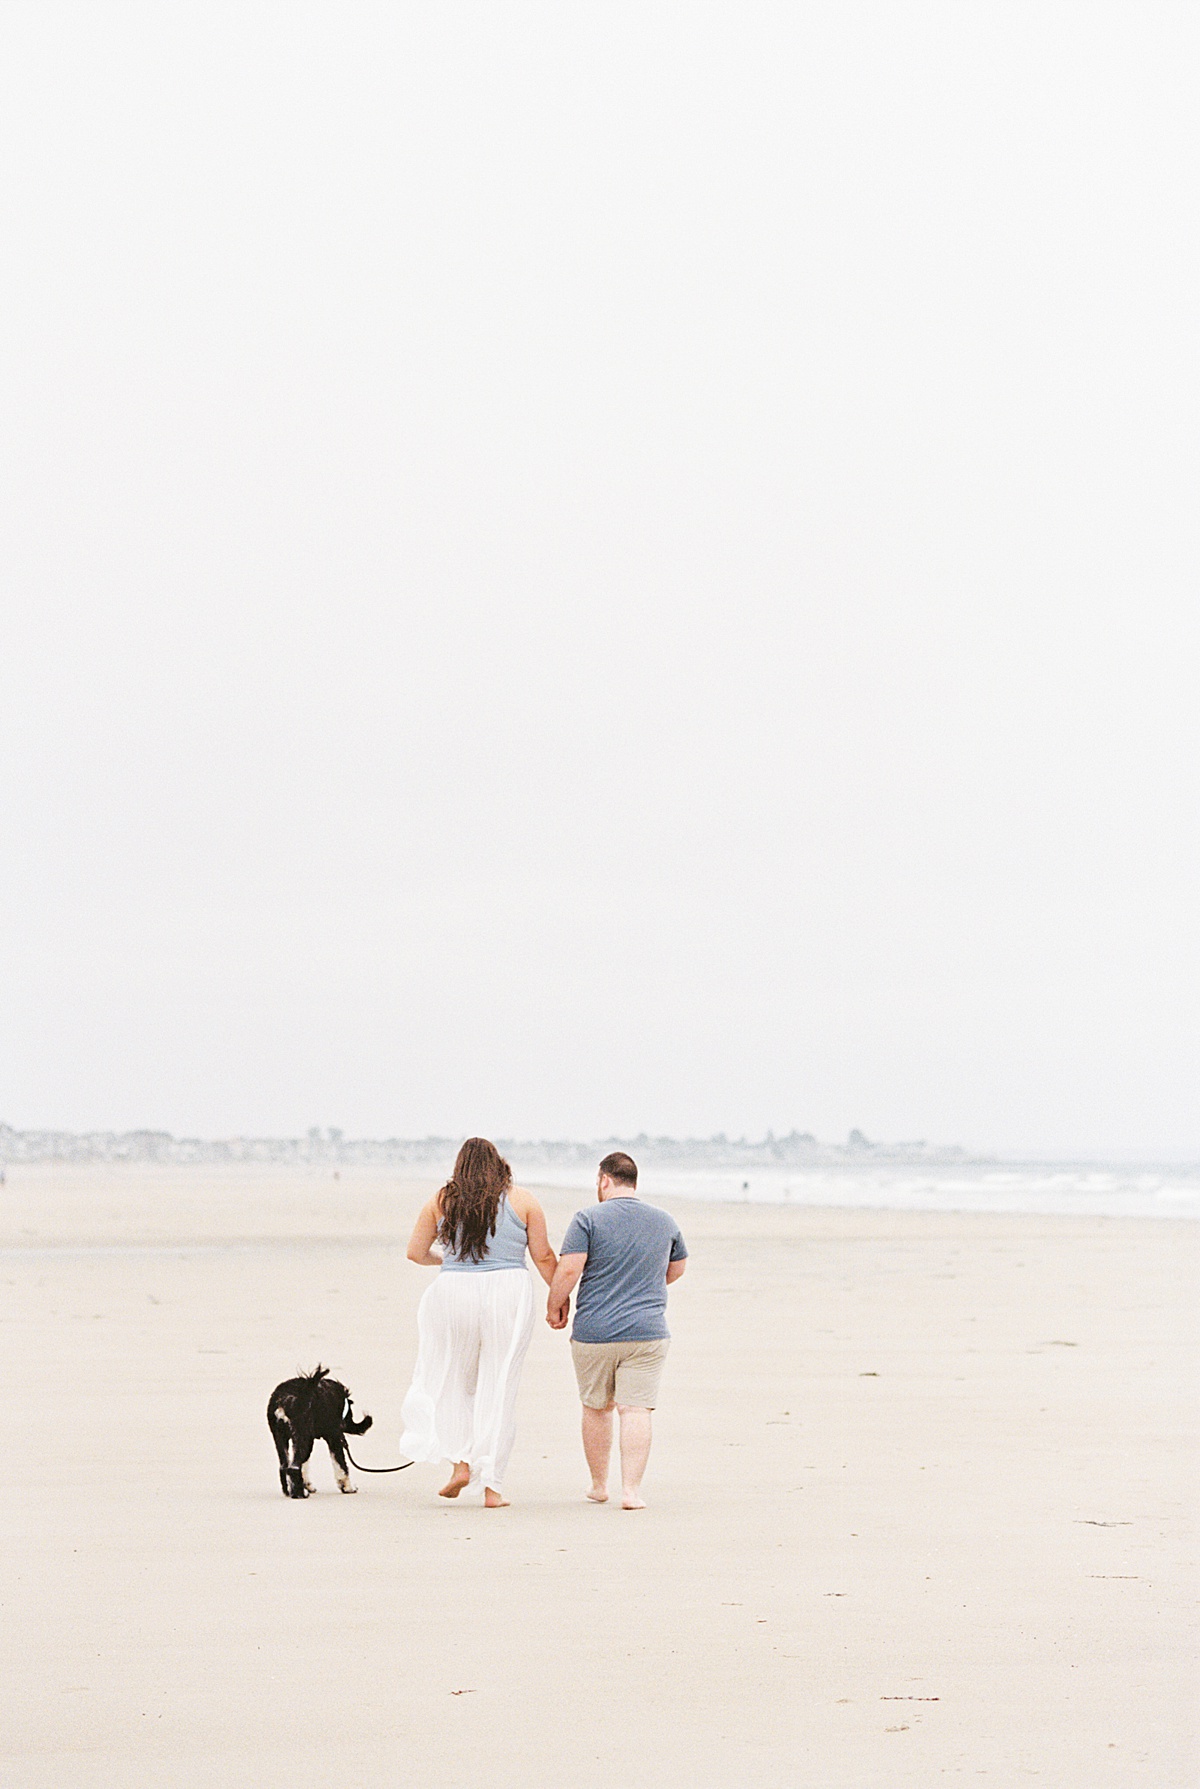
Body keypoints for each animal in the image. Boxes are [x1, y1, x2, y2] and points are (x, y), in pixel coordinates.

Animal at [268, 1366, 370, 1495]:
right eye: (350, 1415)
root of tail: (284, 1400)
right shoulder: (334, 1437)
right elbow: (341, 1464)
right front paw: (348, 1487)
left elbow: (305, 1464)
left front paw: (307, 1485)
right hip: (303, 1438)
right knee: (294, 1467)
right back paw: (300, 1494)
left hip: (281, 1438)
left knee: (284, 1466)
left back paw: (289, 1491)